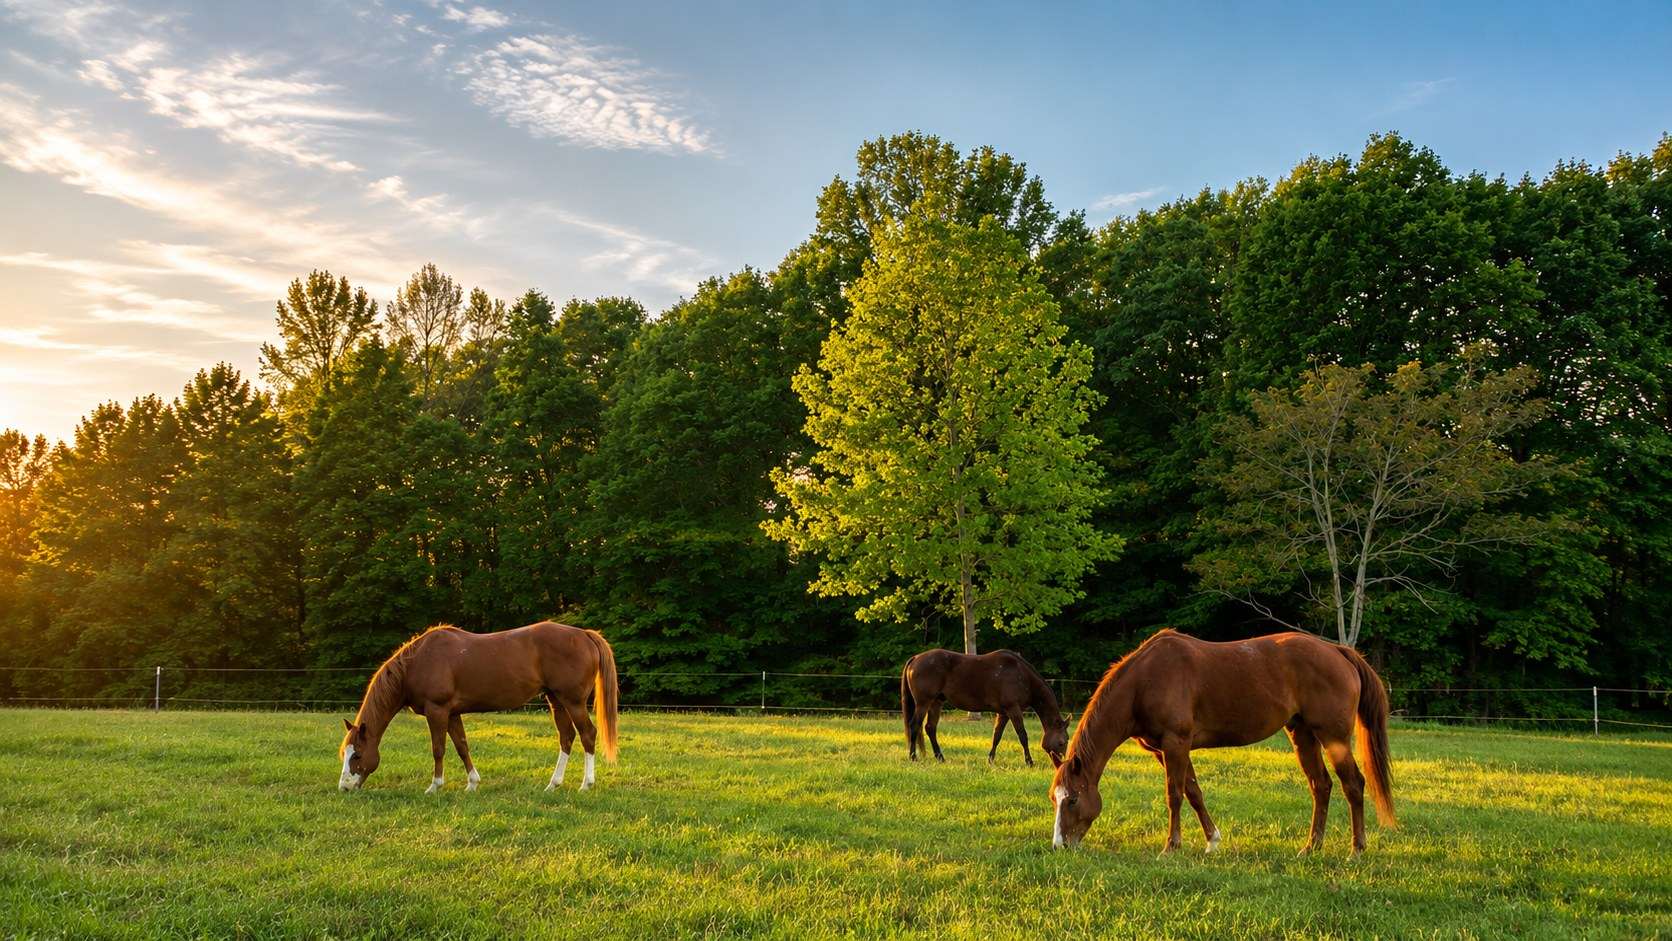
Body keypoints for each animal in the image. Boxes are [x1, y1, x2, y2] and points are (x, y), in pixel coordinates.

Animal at [337, 621, 618, 793]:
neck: (417, 662)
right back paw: (553, 784)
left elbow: (438, 749)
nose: (345, 787)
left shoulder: (437, 710)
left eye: (358, 755)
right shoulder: (452, 713)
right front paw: (472, 783)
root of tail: (584, 634)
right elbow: (462, 746)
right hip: (556, 700)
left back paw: (586, 784)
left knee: (587, 735)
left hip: (573, 701)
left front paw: (434, 786)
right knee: (567, 737)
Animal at [901, 648, 1068, 765]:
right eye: (1062, 742)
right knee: (914, 725)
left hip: (936, 702)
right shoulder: (1013, 710)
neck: (1022, 675)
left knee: (930, 728)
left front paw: (990, 759)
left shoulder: (1004, 713)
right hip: (923, 703)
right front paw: (1029, 761)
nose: (1062, 762)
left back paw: (940, 758)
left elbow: (997, 735)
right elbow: (1022, 735)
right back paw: (913, 757)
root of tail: (916, 658)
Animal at [1049, 629, 1394, 855]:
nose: (1060, 846)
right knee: (1320, 786)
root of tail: (1338, 651)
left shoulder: (1175, 743)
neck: (1144, 681)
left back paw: (1356, 850)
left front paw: (1171, 848)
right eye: (1055, 799)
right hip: (1303, 734)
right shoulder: (1167, 750)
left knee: (1353, 784)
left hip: (1333, 737)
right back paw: (1310, 847)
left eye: (1073, 799)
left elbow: (1174, 795)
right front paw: (1211, 841)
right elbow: (1193, 793)